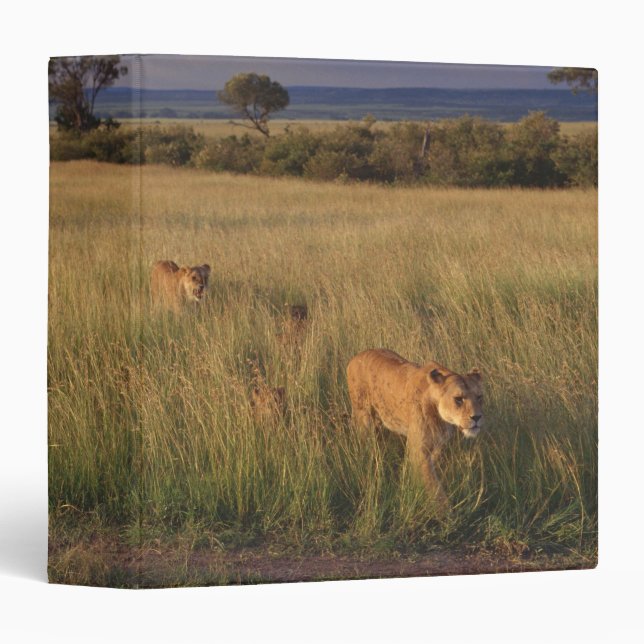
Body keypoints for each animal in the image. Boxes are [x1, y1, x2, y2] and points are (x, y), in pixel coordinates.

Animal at [346, 348, 483, 509]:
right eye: (458, 399)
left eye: (479, 397)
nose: (477, 417)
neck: (442, 418)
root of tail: (356, 356)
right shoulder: (418, 450)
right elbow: (434, 488)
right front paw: (447, 513)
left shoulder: (437, 446)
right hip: (363, 416)